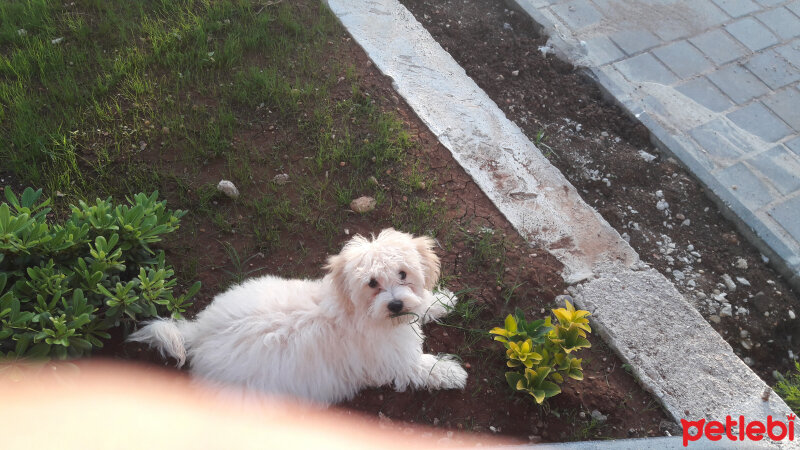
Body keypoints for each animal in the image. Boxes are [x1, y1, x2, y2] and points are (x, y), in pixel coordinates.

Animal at [129, 229, 468, 404]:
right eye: (372, 283)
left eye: (403, 274)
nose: (396, 305)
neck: (357, 309)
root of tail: (200, 332)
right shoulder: (396, 362)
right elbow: (423, 368)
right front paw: (452, 372)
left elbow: (423, 304)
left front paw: (440, 301)